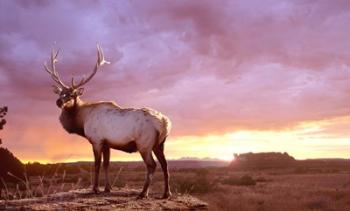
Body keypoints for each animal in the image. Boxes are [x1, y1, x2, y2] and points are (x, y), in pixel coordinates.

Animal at [43, 45, 172, 199]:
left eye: (72, 94)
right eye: (60, 93)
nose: (59, 101)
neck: (82, 120)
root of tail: (165, 123)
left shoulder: (96, 140)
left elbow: (97, 165)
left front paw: (95, 189)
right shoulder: (107, 143)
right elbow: (107, 164)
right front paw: (107, 188)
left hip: (144, 143)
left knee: (152, 165)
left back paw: (143, 193)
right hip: (159, 144)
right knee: (165, 164)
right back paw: (166, 193)